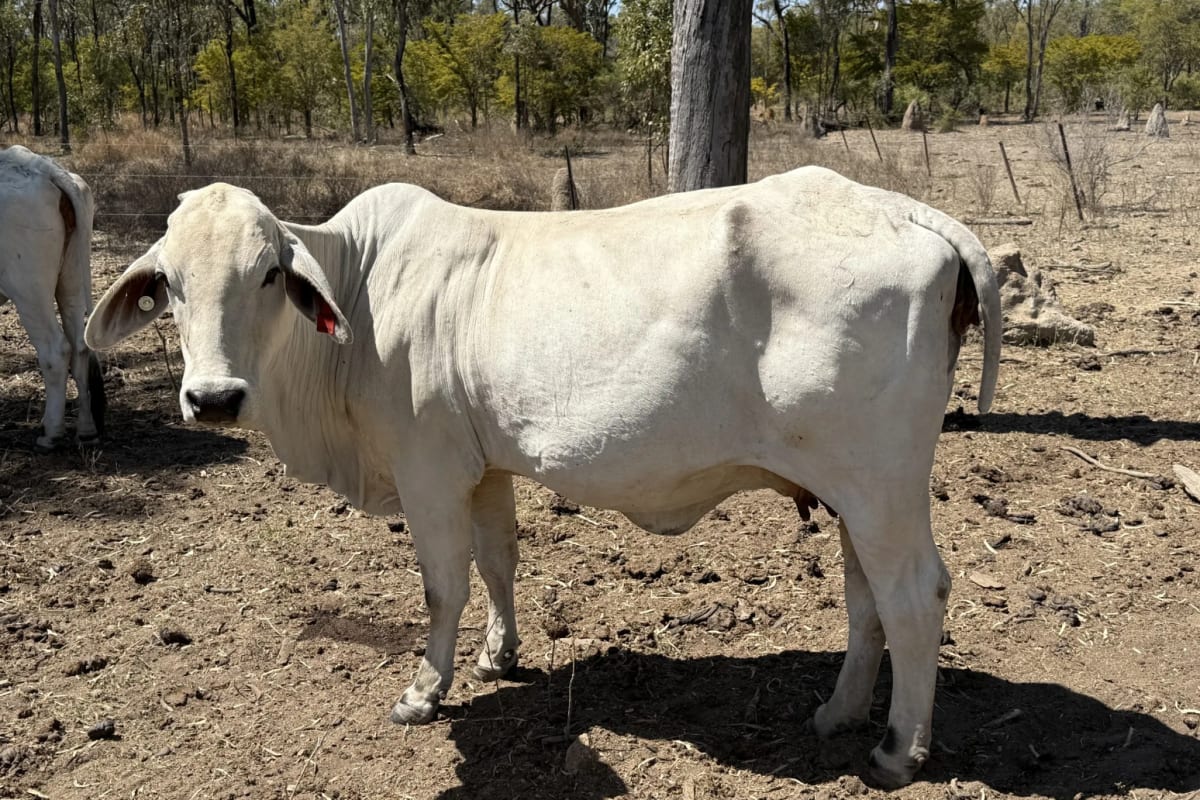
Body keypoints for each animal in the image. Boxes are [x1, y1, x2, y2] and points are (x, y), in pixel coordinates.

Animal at [0, 145, 104, 451]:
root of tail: (44, 169)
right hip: (71, 281)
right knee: (79, 348)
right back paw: (86, 430)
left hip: (29, 290)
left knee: (55, 351)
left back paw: (51, 434)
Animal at [85, 167, 1000, 788]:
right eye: (169, 284)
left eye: (270, 273)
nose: (212, 398)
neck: (363, 293)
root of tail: (904, 209)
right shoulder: (484, 466)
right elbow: (499, 561)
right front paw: (499, 654)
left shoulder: (427, 469)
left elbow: (443, 586)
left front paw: (426, 689)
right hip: (851, 491)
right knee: (866, 597)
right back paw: (839, 712)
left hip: (880, 482)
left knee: (914, 594)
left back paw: (897, 749)